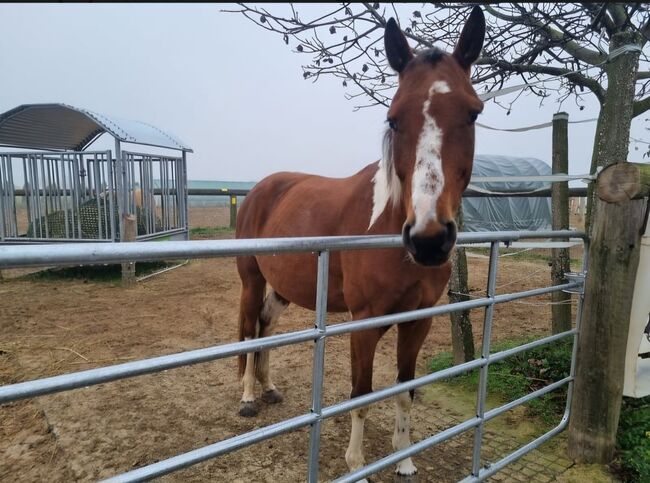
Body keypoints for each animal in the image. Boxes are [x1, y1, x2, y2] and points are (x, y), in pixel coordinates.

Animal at [235, 7, 485, 478]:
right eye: (393, 118)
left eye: (473, 113)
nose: (429, 239)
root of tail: (262, 188)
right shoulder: (363, 324)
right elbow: (361, 396)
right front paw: (357, 466)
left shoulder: (418, 321)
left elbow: (404, 390)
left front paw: (404, 460)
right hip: (251, 280)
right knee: (247, 331)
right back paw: (246, 397)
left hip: (282, 288)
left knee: (264, 325)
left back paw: (269, 387)